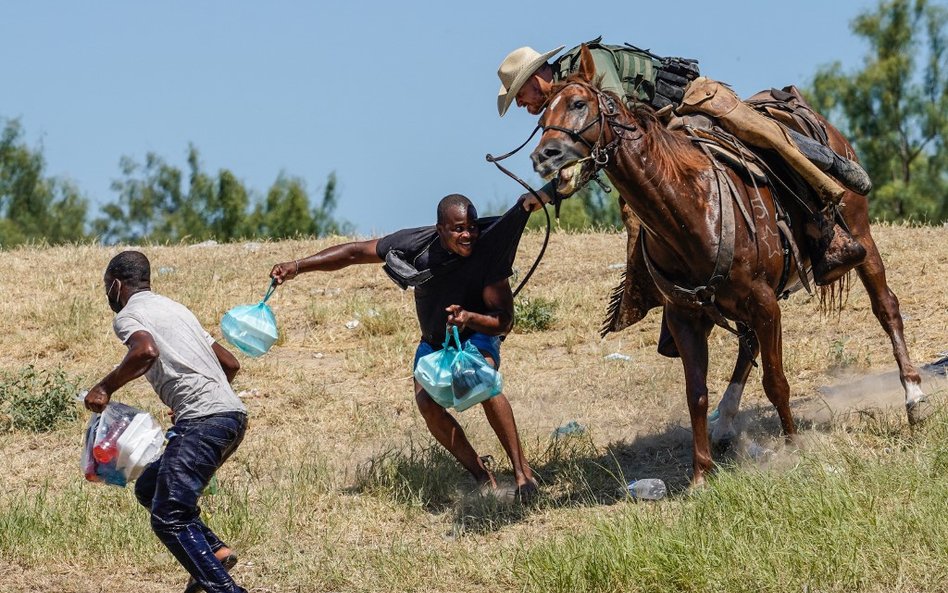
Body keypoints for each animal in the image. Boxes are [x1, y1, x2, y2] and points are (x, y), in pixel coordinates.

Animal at [528, 46, 928, 486]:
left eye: (579, 104)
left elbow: (776, 382)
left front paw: (793, 448)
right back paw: (725, 424)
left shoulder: (765, 304)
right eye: (541, 117)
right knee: (747, 344)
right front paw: (701, 474)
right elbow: (696, 394)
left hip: (861, 237)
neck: (690, 208)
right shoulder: (686, 316)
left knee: (886, 307)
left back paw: (914, 397)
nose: (543, 156)